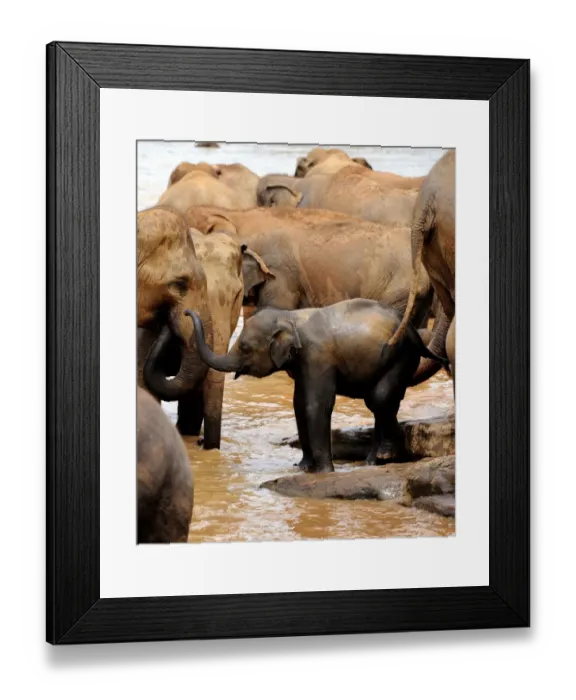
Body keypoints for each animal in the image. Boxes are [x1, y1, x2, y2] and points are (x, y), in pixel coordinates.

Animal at [187, 299, 448, 472]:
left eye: (244, 348)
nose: (187, 311)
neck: (290, 318)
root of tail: (414, 332)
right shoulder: (302, 364)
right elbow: (298, 405)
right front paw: (302, 467)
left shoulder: (317, 357)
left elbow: (316, 405)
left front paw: (322, 472)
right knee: (383, 402)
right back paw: (375, 460)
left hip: (402, 355)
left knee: (379, 398)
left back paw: (387, 456)